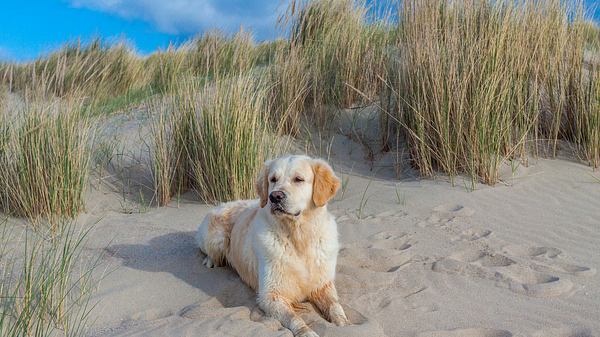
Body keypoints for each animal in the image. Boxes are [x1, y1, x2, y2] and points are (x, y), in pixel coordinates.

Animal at [196, 155, 346, 336]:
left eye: (298, 179)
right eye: (273, 179)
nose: (275, 196)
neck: (299, 237)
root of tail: (223, 203)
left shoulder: (323, 284)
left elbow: (335, 305)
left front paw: (342, 323)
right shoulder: (271, 295)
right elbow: (294, 317)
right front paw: (306, 331)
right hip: (217, 238)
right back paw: (211, 261)